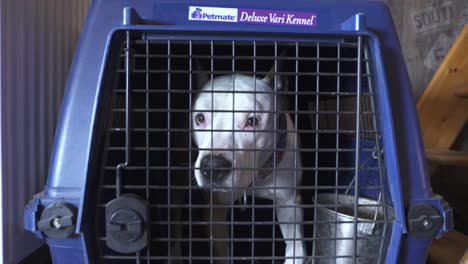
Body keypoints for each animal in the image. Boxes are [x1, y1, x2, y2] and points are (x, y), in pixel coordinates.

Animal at [191, 64, 306, 264]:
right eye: (200, 118)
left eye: (252, 121)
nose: (213, 167)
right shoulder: (215, 211)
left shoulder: (289, 203)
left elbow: (297, 248)